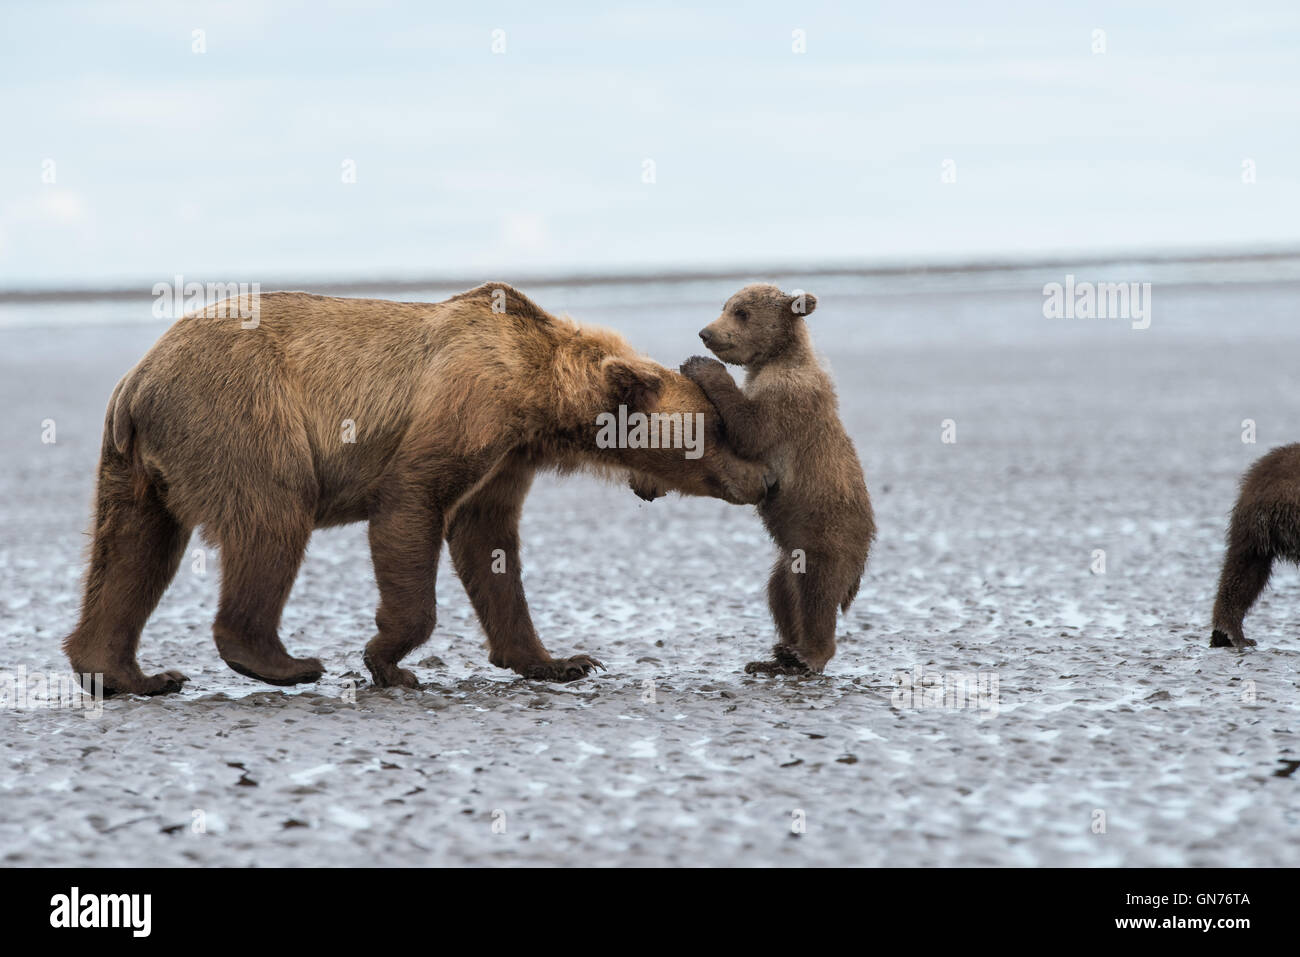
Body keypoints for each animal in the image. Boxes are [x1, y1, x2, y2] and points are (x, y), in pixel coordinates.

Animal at [63, 283, 770, 696]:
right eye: (716, 425)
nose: (763, 478)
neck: (542, 396)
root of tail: (140, 377)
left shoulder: (507, 453)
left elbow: (488, 542)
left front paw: (559, 659)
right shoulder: (469, 400)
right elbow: (412, 502)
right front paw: (387, 659)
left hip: (134, 462)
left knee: (133, 551)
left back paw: (127, 672)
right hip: (240, 413)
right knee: (273, 518)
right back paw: (281, 661)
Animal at [680, 283, 875, 675]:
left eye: (741, 312)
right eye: (725, 306)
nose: (706, 333)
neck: (776, 358)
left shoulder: (787, 397)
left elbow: (750, 428)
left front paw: (701, 366)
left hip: (829, 536)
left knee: (817, 594)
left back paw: (808, 654)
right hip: (789, 557)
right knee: (781, 592)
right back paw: (776, 655)